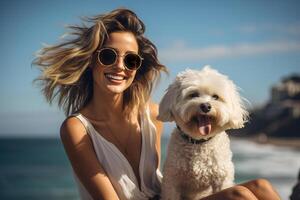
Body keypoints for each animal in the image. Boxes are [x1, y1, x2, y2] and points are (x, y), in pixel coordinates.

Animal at [159, 66, 248, 199]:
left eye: (216, 97)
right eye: (193, 95)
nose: (206, 106)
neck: (199, 142)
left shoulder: (222, 178)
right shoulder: (172, 181)